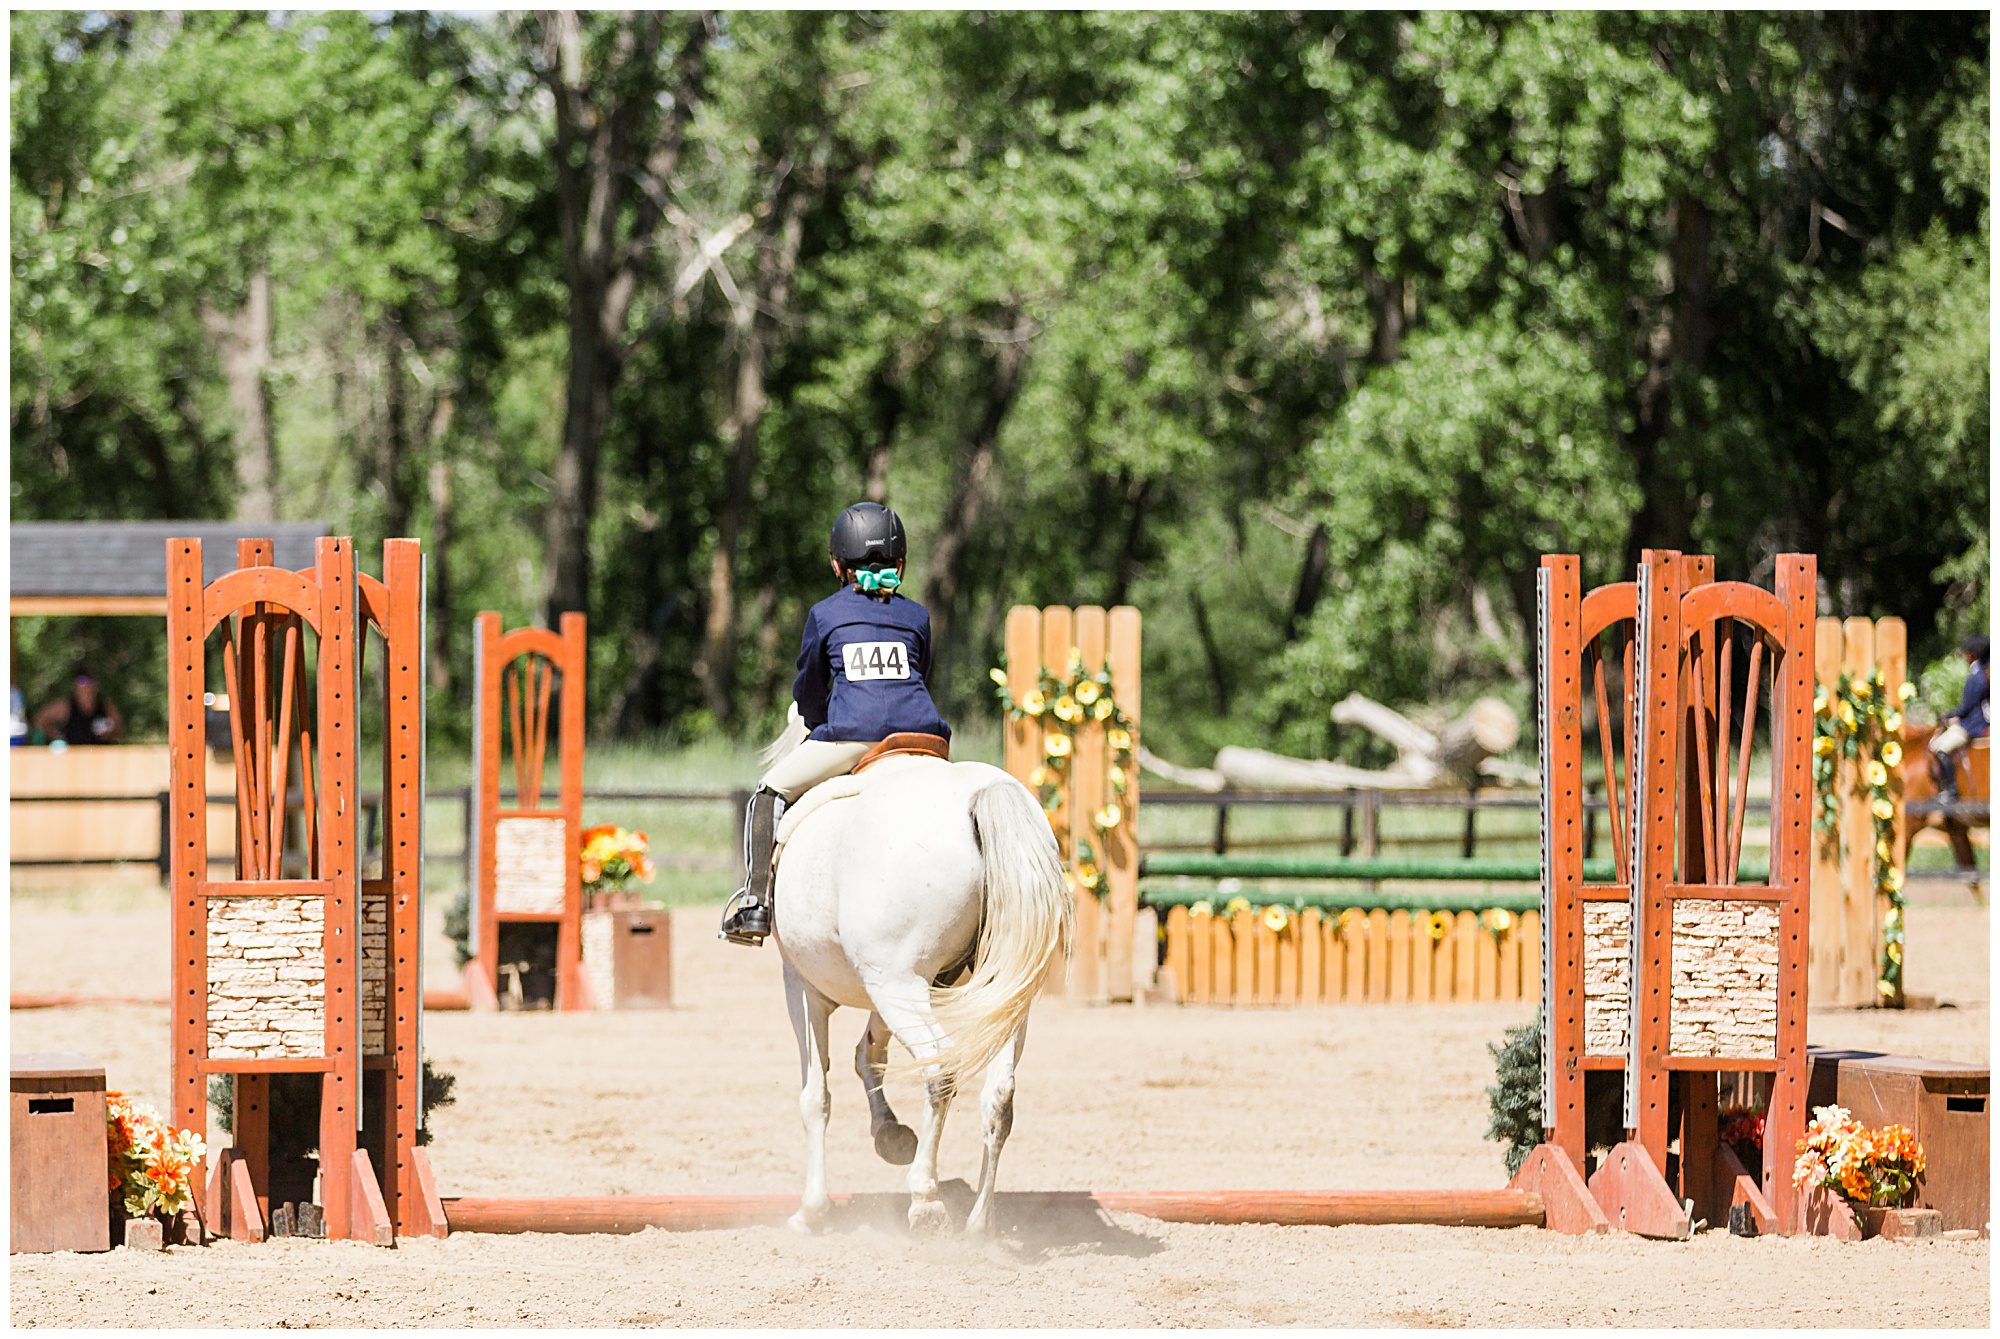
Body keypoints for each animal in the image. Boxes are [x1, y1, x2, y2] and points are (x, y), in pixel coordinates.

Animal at [764, 719, 1080, 1247]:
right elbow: (867, 1055)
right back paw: (980, 1225)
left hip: (900, 985)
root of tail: (980, 795)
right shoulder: (885, 986)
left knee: (939, 1070)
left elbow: (817, 1096)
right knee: (1000, 1095)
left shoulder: (804, 987)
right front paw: (890, 1135)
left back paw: (926, 1201)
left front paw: (811, 1211)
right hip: (999, 998)